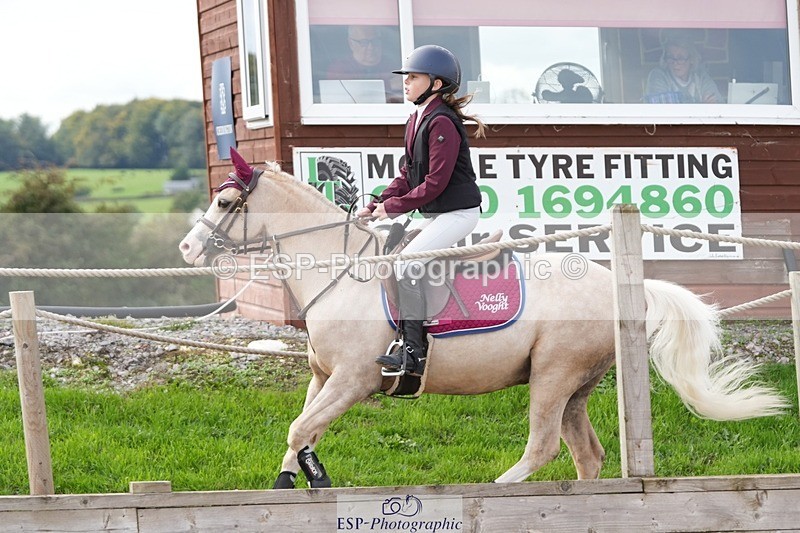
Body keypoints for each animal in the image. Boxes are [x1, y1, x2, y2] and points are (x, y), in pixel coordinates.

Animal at [179, 155, 788, 488]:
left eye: (228, 203)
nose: (187, 248)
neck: (338, 267)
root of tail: (613, 284)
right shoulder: (324, 377)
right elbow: (301, 427)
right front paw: (289, 480)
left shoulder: (354, 379)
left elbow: (300, 429)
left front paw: (316, 476)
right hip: (575, 385)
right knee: (585, 453)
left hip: (554, 373)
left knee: (543, 446)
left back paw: (498, 486)